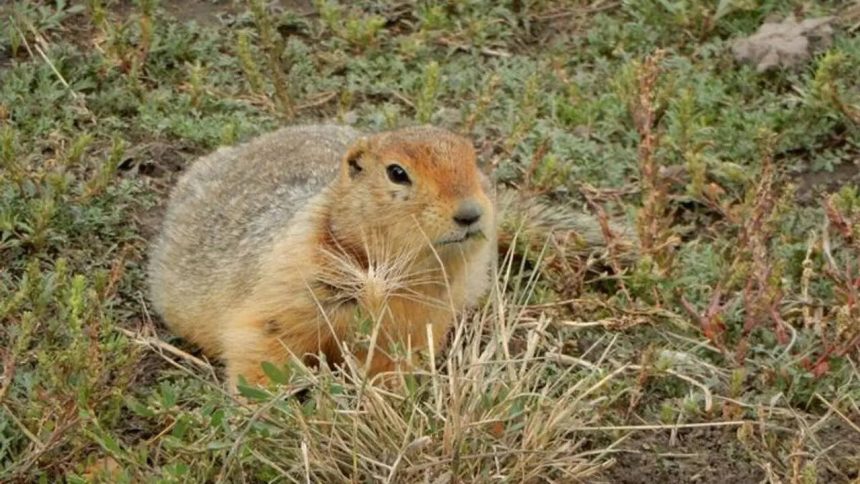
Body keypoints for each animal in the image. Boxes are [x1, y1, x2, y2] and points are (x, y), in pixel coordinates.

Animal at [147, 124, 498, 388]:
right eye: (397, 172)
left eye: (473, 160)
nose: (470, 213)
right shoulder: (291, 283)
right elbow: (262, 344)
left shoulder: (423, 320)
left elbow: (394, 361)